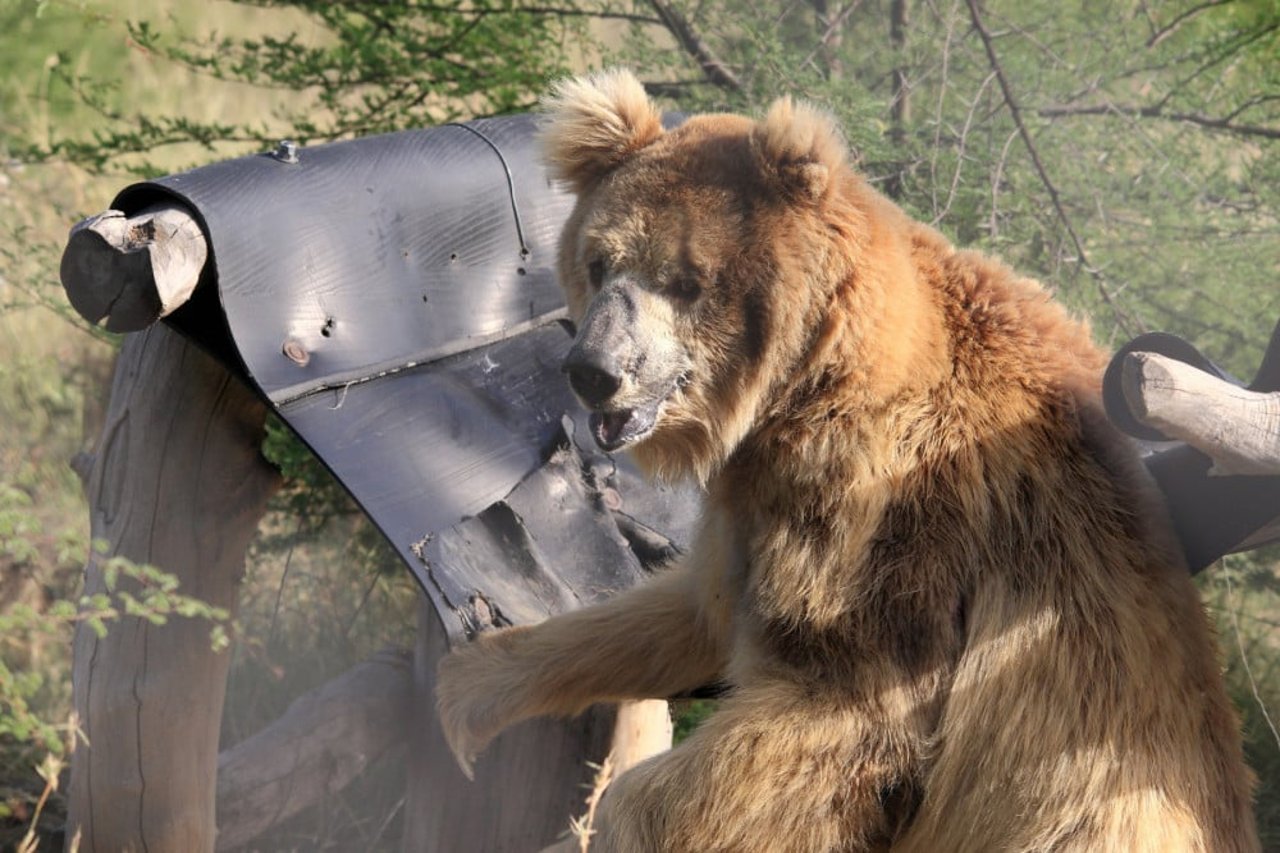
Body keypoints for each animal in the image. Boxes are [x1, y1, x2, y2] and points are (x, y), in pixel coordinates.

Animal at [435, 71, 1254, 850]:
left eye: (686, 279)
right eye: (601, 261)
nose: (594, 370)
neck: (797, 393)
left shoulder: (891, 531)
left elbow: (834, 709)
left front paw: (606, 821)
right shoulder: (753, 515)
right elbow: (682, 611)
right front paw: (470, 695)